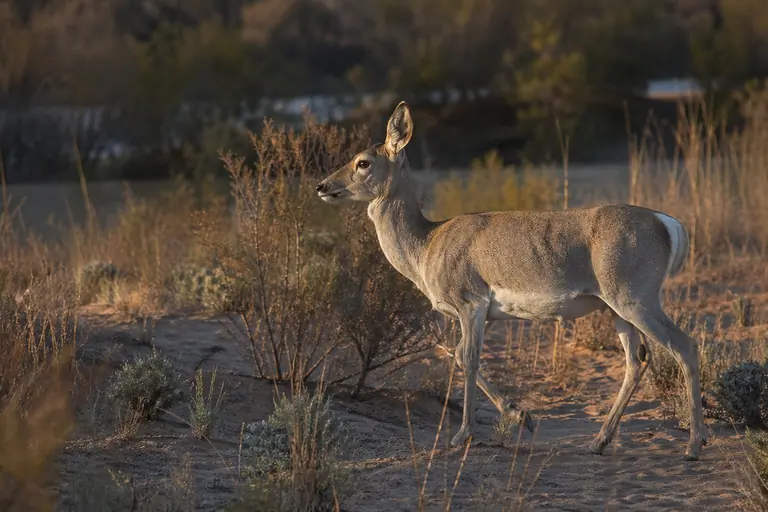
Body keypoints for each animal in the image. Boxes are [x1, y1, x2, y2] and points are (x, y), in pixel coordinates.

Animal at [315, 101, 707, 461]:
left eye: (363, 161)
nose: (322, 186)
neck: (427, 244)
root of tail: (668, 224)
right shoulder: (480, 313)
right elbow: (460, 356)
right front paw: (522, 416)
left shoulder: (470, 302)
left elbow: (468, 358)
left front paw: (462, 436)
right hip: (616, 308)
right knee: (636, 360)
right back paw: (599, 441)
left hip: (635, 298)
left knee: (684, 345)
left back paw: (694, 444)